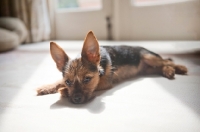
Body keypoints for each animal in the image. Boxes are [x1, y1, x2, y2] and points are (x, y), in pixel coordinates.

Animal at [37, 31, 188, 104]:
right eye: (68, 81)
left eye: (87, 79)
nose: (76, 100)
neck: (100, 67)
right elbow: (59, 81)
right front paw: (47, 87)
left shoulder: (104, 83)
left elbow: (94, 87)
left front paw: (63, 91)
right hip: (148, 68)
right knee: (162, 66)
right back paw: (168, 71)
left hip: (149, 57)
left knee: (166, 61)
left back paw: (179, 67)